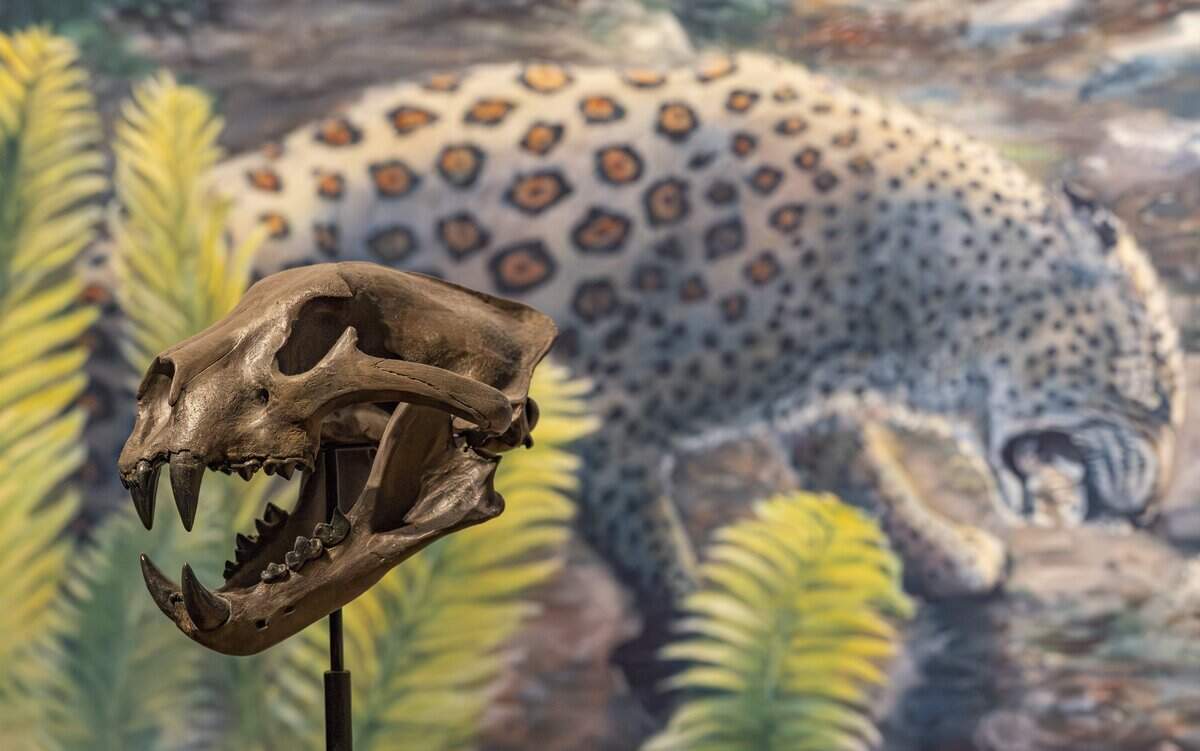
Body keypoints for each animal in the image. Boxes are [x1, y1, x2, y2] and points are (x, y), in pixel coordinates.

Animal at [207, 52, 1184, 624]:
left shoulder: (818, 404)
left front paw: (949, 553)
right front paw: (700, 634)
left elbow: (869, 473)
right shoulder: (611, 420)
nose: (1146, 513)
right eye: (1162, 394)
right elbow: (656, 543)